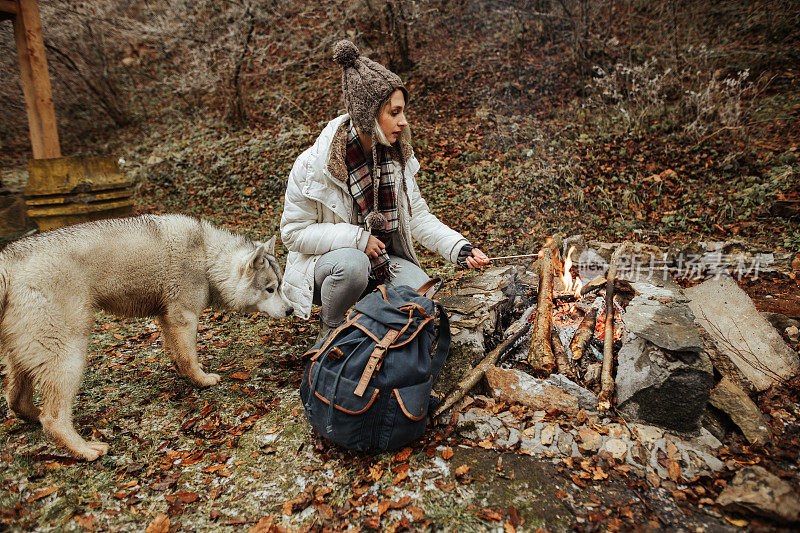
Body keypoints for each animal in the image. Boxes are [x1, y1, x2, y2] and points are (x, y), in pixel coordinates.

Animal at [0, 214, 294, 460]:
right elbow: (190, 358)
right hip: (69, 356)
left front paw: (185, 374)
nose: (291, 310)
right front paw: (201, 380)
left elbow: (179, 355)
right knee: (53, 419)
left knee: (17, 401)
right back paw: (84, 450)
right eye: (270, 289)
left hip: (28, 358)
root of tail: (9, 260)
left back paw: (35, 418)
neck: (207, 256)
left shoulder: (168, 319)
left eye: (280, 286)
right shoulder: (184, 317)